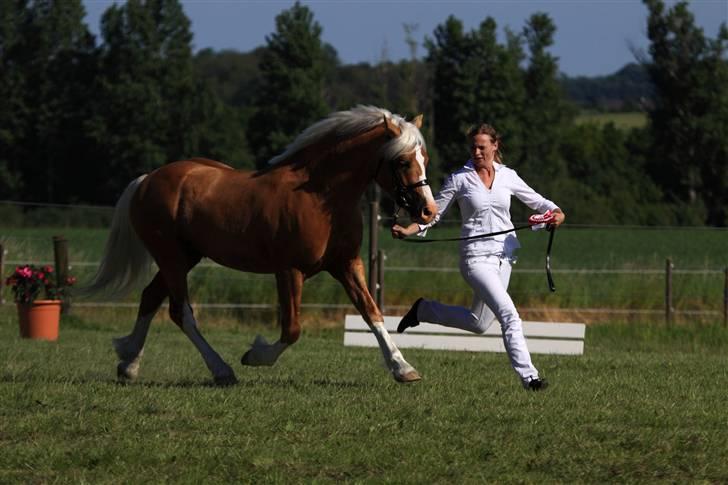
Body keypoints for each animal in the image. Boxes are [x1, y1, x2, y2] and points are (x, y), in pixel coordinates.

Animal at [85, 104, 438, 384]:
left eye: (425, 158)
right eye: (403, 161)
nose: (428, 210)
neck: (322, 197)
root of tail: (147, 179)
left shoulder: (347, 264)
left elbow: (372, 312)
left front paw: (403, 368)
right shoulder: (289, 271)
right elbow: (292, 329)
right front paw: (255, 355)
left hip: (185, 257)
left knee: (150, 298)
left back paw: (129, 363)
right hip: (171, 257)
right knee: (180, 311)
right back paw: (221, 370)